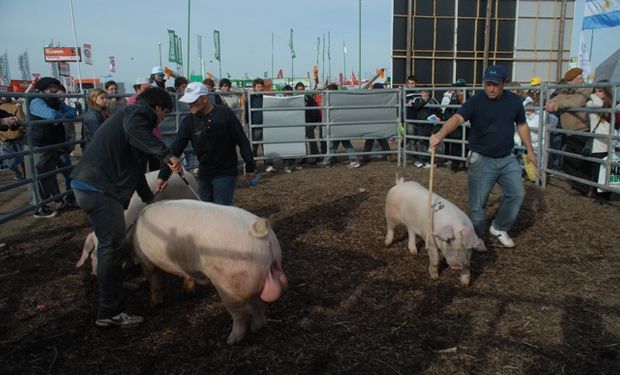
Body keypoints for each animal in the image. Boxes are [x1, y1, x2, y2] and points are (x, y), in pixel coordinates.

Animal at [133, 201, 288, 346]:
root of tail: (258, 230)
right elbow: (187, 276)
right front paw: (187, 293)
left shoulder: (145, 260)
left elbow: (154, 281)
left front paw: (155, 305)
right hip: (262, 278)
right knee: (260, 305)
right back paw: (256, 329)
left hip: (228, 285)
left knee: (241, 314)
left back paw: (231, 340)